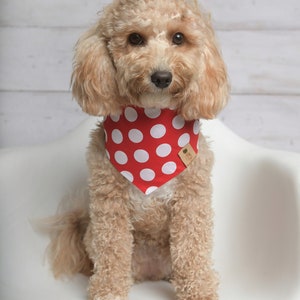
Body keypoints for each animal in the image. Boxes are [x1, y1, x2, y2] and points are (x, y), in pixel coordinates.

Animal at [44, 0, 229, 300]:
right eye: (135, 39)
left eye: (179, 37)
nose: (162, 77)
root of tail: (151, 273)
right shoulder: (109, 203)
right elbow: (112, 251)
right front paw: (108, 291)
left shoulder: (191, 199)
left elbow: (192, 249)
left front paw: (199, 290)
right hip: (98, 237)